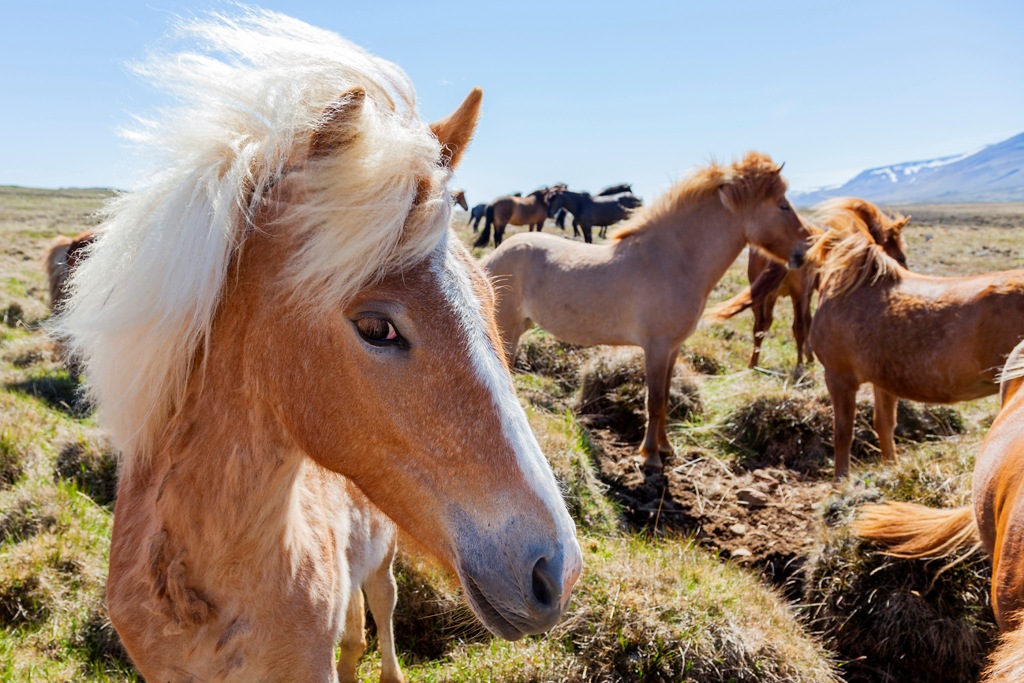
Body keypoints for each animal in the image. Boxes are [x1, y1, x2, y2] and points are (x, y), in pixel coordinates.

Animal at [58, 9, 585, 679]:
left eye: (490, 304)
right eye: (377, 327)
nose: (557, 571)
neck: (206, 593)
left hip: (384, 557)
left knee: (381, 607)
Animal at [483, 151, 811, 466]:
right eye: (782, 205)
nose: (806, 248)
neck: (674, 260)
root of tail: (492, 258)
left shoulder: (673, 348)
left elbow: (665, 398)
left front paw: (665, 447)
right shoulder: (656, 348)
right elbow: (654, 401)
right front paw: (651, 455)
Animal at [708, 197, 909, 368]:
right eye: (901, 257)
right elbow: (807, 323)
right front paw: (810, 357)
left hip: (764, 294)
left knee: (761, 325)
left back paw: (754, 363)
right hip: (796, 294)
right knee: (797, 327)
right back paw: (799, 367)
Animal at [802, 227, 1024, 479]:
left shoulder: (838, 377)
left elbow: (842, 432)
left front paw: (841, 478)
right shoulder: (882, 381)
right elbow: (884, 424)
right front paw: (891, 467)